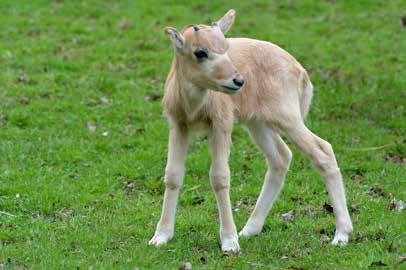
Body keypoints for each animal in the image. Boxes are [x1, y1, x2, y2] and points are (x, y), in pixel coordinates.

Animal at [149, 8, 352, 253]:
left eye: (225, 46)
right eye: (200, 52)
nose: (238, 81)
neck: (194, 105)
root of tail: (301, 72)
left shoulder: (221, 123)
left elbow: (219, 176)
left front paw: (229, 242)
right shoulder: (178, 124)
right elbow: (173, 175)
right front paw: (160, 236)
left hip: (287, 118)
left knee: (323, 150)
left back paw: (341, 234)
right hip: (258, 123)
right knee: (281, 157)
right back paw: (249, 229)